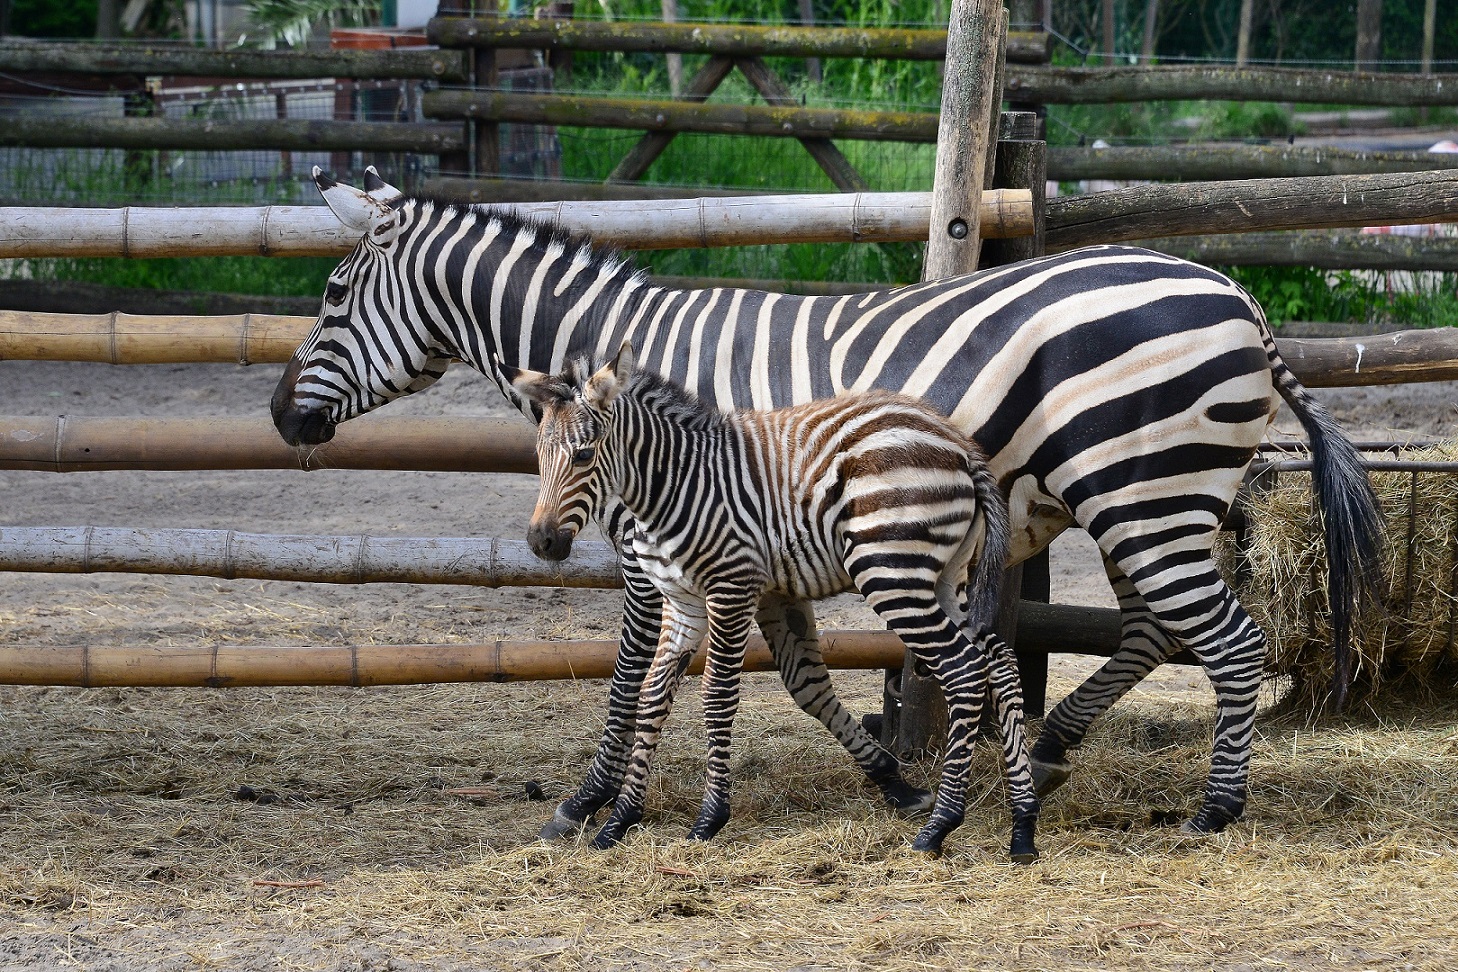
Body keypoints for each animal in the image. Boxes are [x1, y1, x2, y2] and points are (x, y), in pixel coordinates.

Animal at [507, 345, 1043, 862]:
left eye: (583, 456)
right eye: (538, 454)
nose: (541, 542)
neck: (673, 487)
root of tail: (959, 444)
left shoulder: (732, 588)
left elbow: (717, 696)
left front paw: (709, 819)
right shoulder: (682, 603)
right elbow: (653, 696)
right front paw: (619, 821)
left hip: (891, 573)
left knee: (965, 670)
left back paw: (941, 826)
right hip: (943, 578)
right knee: (998, 660)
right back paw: (1022, 825)